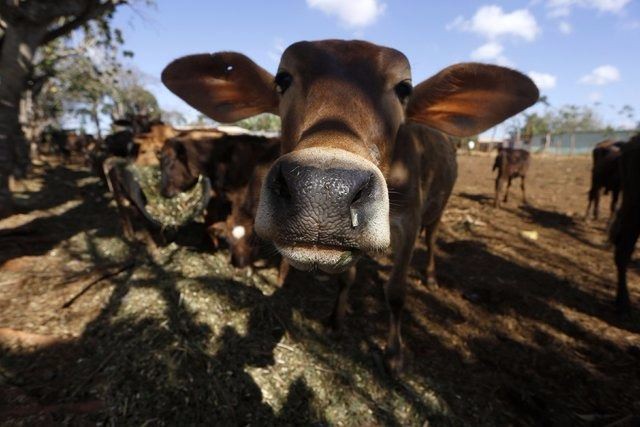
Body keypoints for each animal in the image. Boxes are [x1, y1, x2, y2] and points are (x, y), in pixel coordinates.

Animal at [161, 41, 540, 374]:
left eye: (404, 88)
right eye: (283, 79)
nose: (322, 191)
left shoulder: (409, 223)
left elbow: (396, 292)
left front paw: (394, 356)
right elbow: (347, 278)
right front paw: (336, 319)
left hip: (438, 210)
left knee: (432, 240)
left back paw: (431, 276)